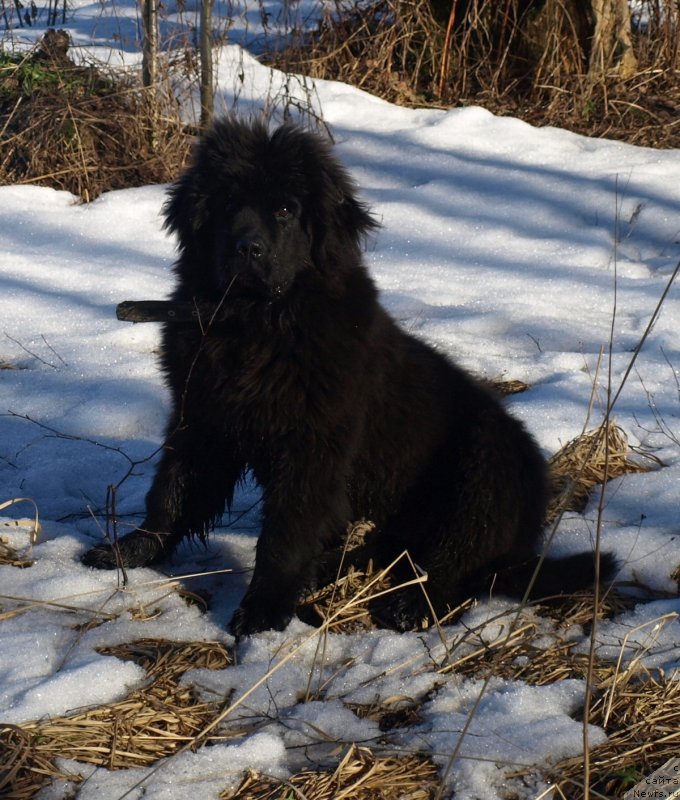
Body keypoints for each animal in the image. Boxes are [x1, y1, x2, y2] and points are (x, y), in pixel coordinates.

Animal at [82, 117, 612, 636]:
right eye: (228, 203)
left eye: (285, 209)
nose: (247, 249)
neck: (255, 323)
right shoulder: (201, 417)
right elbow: (171, 493)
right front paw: (130, 551)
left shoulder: (313, 444)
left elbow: (286, 532)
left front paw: (262, 611)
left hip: (485, 466)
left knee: (457, 564)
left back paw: (409, 606)